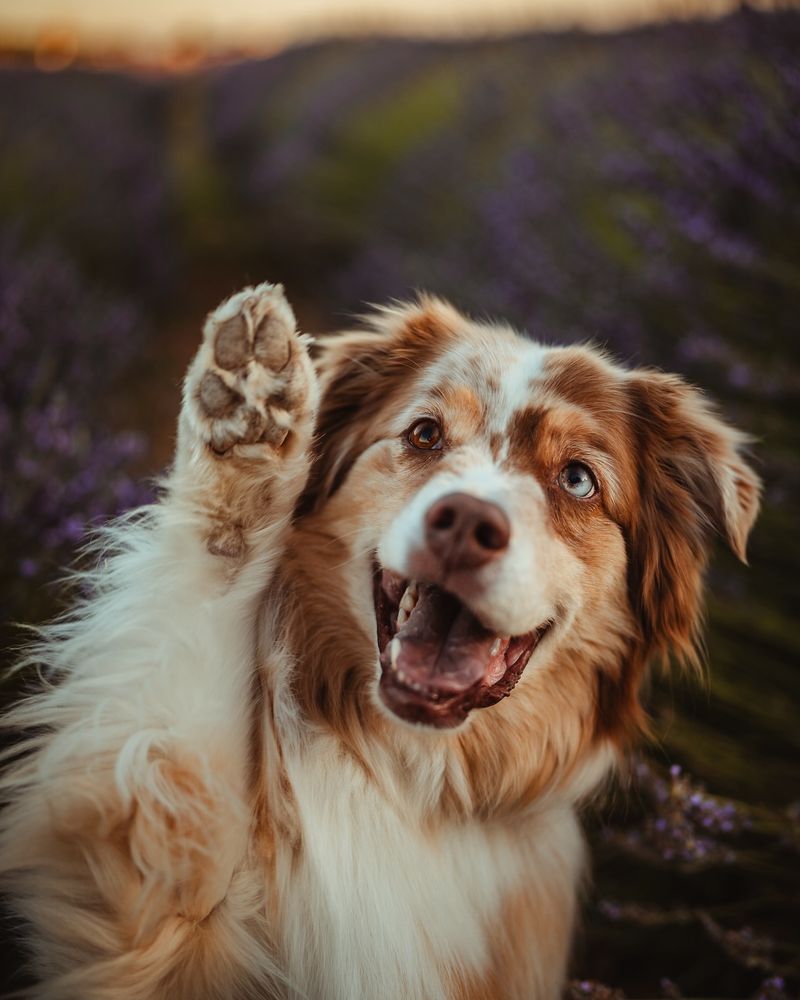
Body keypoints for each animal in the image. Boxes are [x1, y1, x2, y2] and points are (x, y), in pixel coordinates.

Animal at [0, 284, 760, 1000]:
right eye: (424, 433)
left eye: (577, 479)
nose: (466, 523)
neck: (408, 780)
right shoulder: (143, 903)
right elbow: (199, 636)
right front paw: (250, 409)